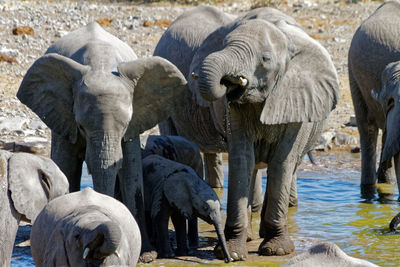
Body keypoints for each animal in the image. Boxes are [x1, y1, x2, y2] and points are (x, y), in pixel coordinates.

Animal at [17, 21, 189, 262]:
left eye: (125, 126)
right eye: (81, 126)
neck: (101, 64)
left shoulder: (136, 120)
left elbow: (131, 172)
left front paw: (146, 254)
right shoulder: (63, 114)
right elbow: (65, 166)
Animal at [153, 6, 338, 262]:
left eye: (265, 59)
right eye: (224, 45)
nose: (195, 75)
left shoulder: (297, 101)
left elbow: (282, 161)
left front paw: (276, 251)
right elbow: (242, 158)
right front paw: (232, 253)